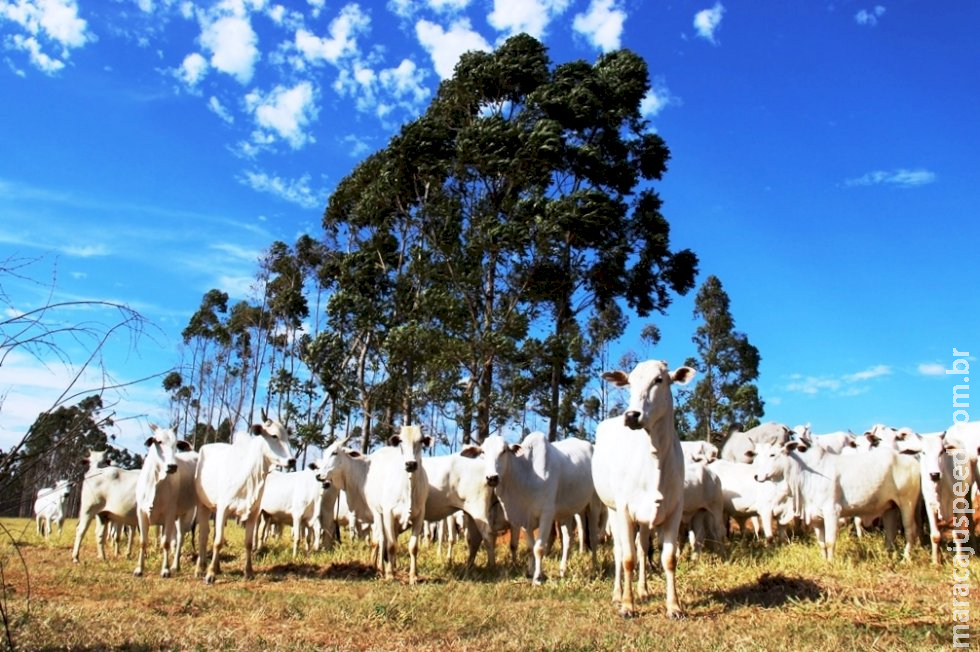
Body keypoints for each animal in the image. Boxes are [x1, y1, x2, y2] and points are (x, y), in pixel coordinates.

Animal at [133, 426, 198, 580]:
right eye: (159, 441)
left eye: (175, 444)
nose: (172, 466)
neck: (155, 481)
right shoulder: (141, 513)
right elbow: (143, 541)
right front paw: (139, 569)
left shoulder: (169, 514)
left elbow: (166, 543)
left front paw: (165, 569)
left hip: (187, 514)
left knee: (180, 538)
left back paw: (175, 565)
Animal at [193, 416, 294, 584]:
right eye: (274, 436)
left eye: (287, 437)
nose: (292, 461)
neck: (251, 475)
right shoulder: (223, 508)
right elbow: (218, 542)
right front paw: (210, 574)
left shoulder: (254, 512)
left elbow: (248, 543)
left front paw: (249, 572)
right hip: (203, 504)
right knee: (204, 534)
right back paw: (201, 568)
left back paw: (217, 567)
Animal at [468, 432, 596, 584]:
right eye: (483, 452)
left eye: (504, 451)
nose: (492, 478)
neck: (527, 475)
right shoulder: (524, 519)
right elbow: (530, 547)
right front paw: (530, 572)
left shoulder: (546, 515)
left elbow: (539, 548)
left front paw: (537, 578)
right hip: (566, 512)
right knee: (567, 539)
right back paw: (562, 570)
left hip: (594, 504)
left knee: (593, 537)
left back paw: (595, 567)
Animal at [592, 360, 692, 620]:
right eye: (630, 382)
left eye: (659, 380)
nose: (631, 415)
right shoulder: (625, 510)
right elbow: (628, 558)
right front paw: (628, 605)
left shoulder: (674, 510)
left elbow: (668, 559)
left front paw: (674, 606)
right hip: (612, 509)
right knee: (620, 550)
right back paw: (618, 594)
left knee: (642, 547)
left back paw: (643, 590)